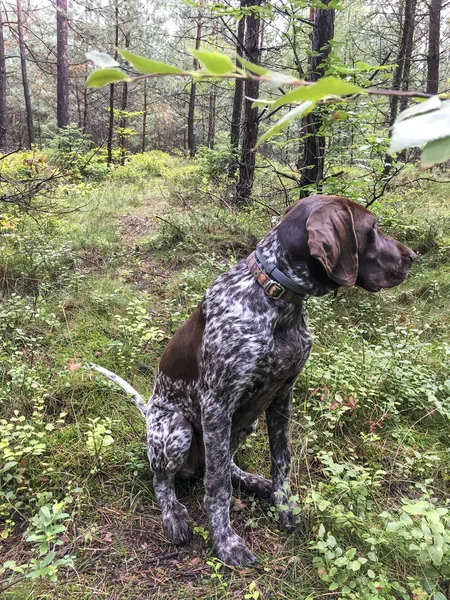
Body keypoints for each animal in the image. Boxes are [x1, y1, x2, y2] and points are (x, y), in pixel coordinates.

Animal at [92, 193, 418, 568]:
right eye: (372, 229)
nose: (413, 256)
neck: (277, 300)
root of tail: (148, 412)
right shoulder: (217, 404)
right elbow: (217, 487)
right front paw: (225, 541)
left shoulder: (282, 395)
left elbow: (281, 462)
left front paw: (284, 508)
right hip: (177, 429)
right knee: (168, 478)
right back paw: (173, 514)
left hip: (243, 424)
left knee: (219, 465)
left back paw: (249, 480)